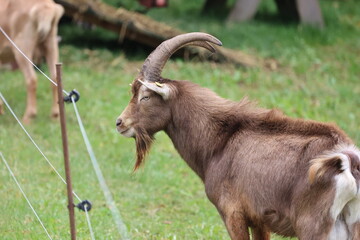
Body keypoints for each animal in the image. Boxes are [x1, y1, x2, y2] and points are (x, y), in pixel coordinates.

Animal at [115, 32, 360, 240]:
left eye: (145, 96)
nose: (120, 123)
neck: (221, 140)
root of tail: (346, 161)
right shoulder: (260, 219)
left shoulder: (233, 213)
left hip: (314, 227)